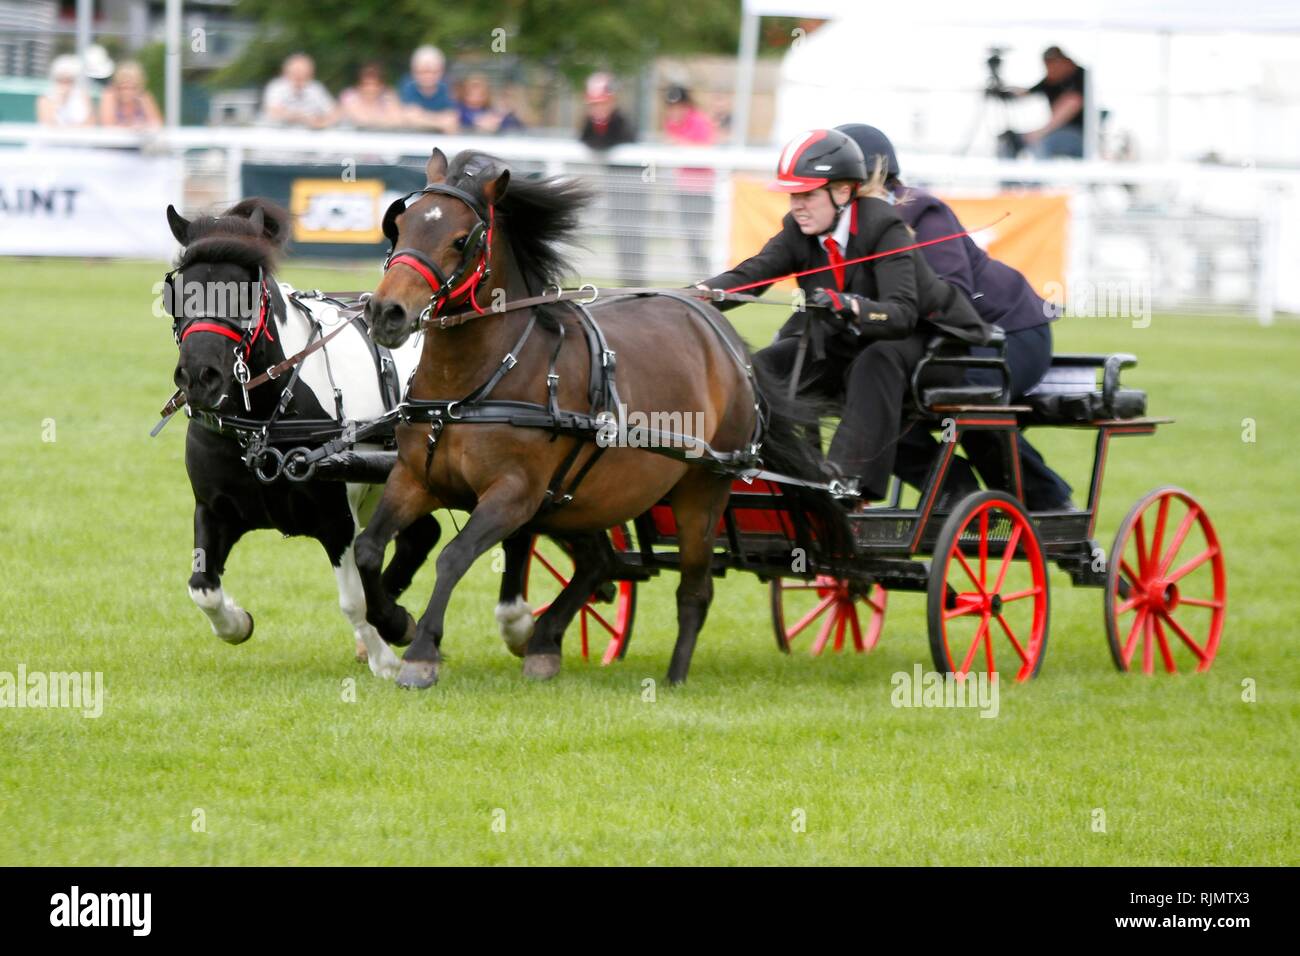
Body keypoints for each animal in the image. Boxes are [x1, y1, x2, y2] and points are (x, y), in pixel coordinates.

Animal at [162, 200, 444, 681]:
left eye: (249, 291)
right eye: (177, 291)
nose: (200, 377)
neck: (261, 424)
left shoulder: (337, 521)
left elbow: (353, 601)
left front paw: (385, 658)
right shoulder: (214, 509)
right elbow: (202, 587)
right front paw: (237, 623)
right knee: (422, 535)